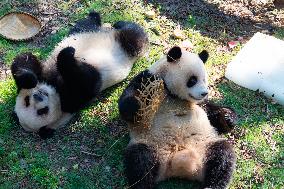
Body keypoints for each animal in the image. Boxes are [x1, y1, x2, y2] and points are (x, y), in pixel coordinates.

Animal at [11, 11, 149, 139]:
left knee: (86, 25)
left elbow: (24, 59)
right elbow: (86, 83)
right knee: (134, 37)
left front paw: (30, 80)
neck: (55, 87)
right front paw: (67, 54)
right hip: (126, 48)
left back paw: (104, 19)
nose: (38, 95)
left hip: (85, 32)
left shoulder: (44, 73)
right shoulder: (74, 100)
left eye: (26, 100)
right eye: (42, 111)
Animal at [117, 46, 237, 189]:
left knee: (222, 156)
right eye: (193, 80)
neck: (175, 96)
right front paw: (137, 105)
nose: (204, 93)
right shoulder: (147, 79)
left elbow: (213, 114)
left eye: (204, 79)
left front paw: (228, 117)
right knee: (140, 160)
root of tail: (179, 165)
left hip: (206, 145)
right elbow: (128, 104)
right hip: (151, 144)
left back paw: (213, 185)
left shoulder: (200, 104)